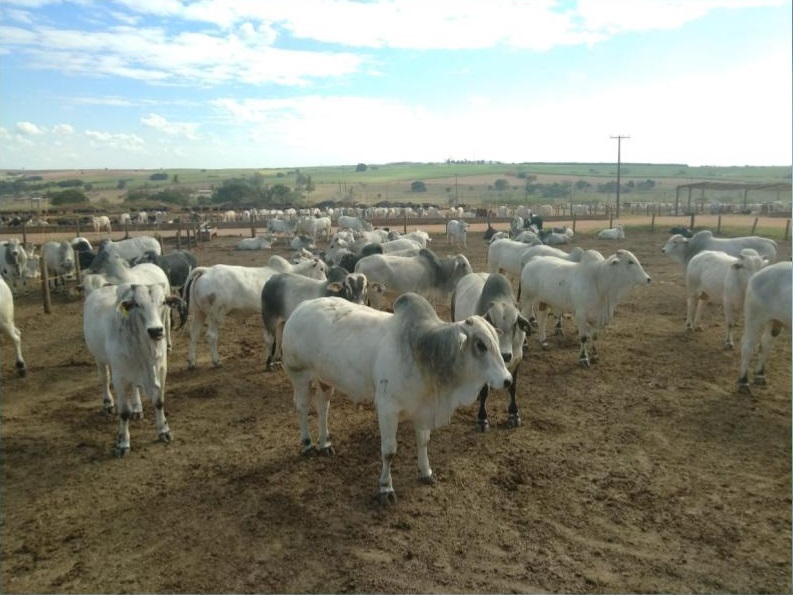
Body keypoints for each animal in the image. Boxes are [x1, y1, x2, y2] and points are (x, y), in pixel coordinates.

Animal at [82, 284, 181, 456]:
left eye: (163, 302)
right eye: (138, 305)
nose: (156, 330)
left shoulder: (161, 369)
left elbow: (159, 402)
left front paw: (164, 430)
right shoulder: (119, 377)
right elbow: (123, 412)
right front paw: (123, 443)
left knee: (134, 387)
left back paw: (137, 408)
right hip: (99, 358)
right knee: (104, 378)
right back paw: (108, 403)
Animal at [183, 260, 324, 368]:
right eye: (322, 268)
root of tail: (206, 270)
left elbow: (279, 338)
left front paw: (277, 359)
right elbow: (271, 339)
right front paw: (270, 360)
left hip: (199, 312)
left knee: (194, 334)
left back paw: (191, 362)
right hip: (215, 314)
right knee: (211, 336)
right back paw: (216, 362)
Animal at [452, 272, 532, 430]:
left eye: (515, 323)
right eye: (492, 323)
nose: (505, 355)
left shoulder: (517, 359)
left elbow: (512, 387)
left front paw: (514, 414)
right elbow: (484, 391)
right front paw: (482, 419)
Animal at [520, 249, 648, 366]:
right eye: (630, 262)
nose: (648, 278)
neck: (599, 281)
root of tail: (533, 260)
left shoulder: (597, 317)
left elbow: (594, 336)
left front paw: (595, 356)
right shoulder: (581, 315)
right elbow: (583, 337)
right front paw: (583, 358)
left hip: (544, 301)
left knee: (542, 318)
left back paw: (543, 342)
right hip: (527, 299)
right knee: (525, 318)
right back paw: (525, 345)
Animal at [732, 262, 788, 394]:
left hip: (775, 321)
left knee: (765, 342)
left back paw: (759, 375)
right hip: (754, 318)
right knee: (747, 345)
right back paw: (743, 382)